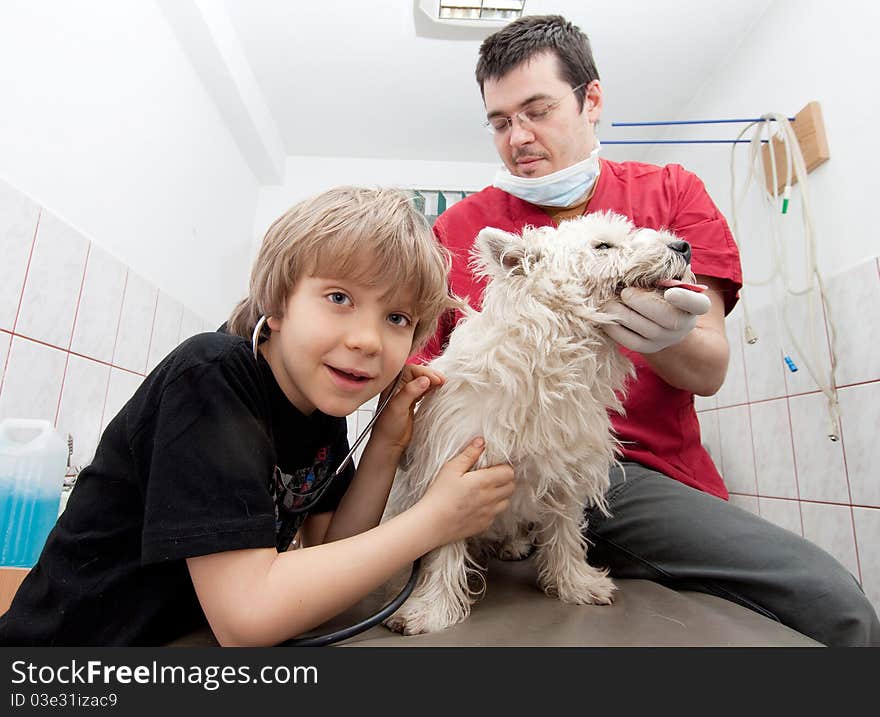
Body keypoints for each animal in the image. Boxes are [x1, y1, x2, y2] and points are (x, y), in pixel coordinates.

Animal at [382, 211, 696, 632]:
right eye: (603, 246)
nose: (683, 246)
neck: (553, 355)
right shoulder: (452, 468)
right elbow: (444, 541)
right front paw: (430, 609)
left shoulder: (566, 471)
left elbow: (565, 533)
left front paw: (575, 583)